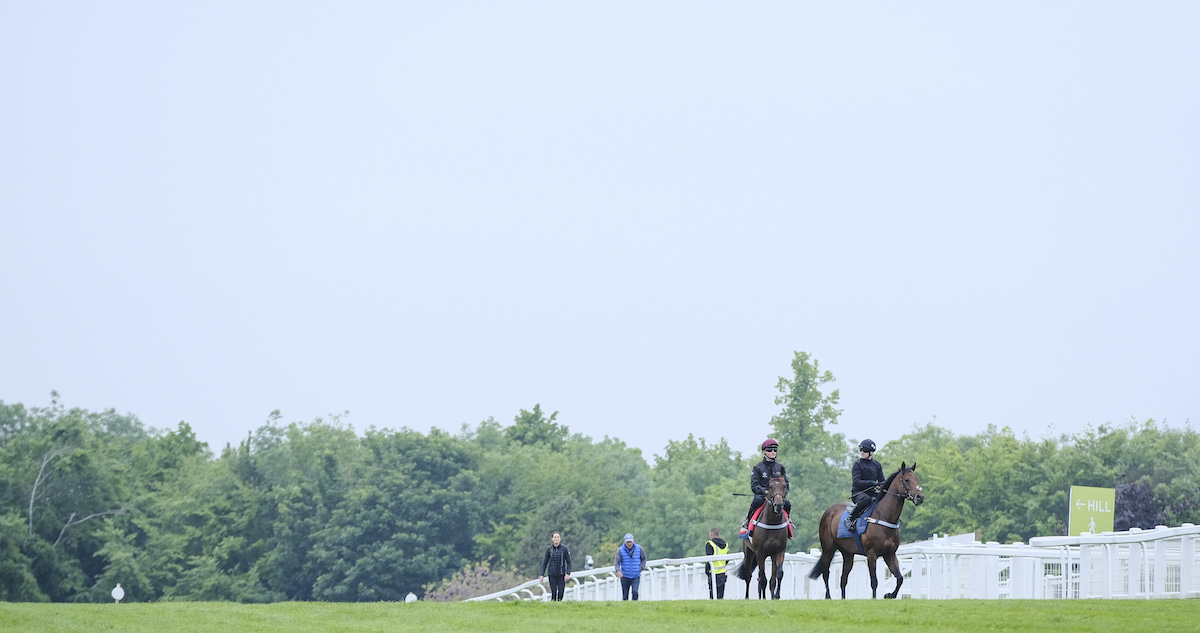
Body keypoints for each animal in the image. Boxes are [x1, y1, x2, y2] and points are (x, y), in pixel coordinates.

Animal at [811, 462, 921, 597]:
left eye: (917, 479)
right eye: (907, 480)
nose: (920, 497)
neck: (884, 517)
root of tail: (827, 512)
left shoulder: (890, 554)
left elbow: (900, 578)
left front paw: (889, 595)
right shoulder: (871, 554)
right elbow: (874, 582)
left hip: (848, 554)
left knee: (843, 579)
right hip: (828, 549)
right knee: (826, 573)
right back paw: (828, 597)